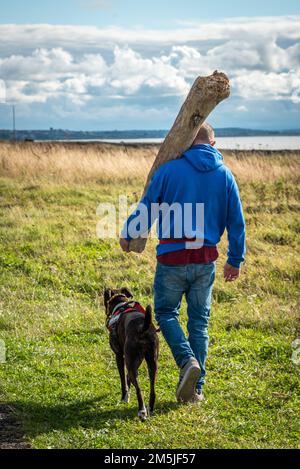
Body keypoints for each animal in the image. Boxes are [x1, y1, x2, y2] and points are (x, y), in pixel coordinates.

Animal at [103, 288, 159, 418]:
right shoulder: (134, 361)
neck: (121, 305)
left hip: (131, 360)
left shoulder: (119, 356)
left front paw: (124, 397)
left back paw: (142, 411)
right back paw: (150, 408)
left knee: (139, 389)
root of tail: (142, 328)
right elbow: (128, 377)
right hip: (152, 363)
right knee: (152, 389)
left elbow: (123, 379)